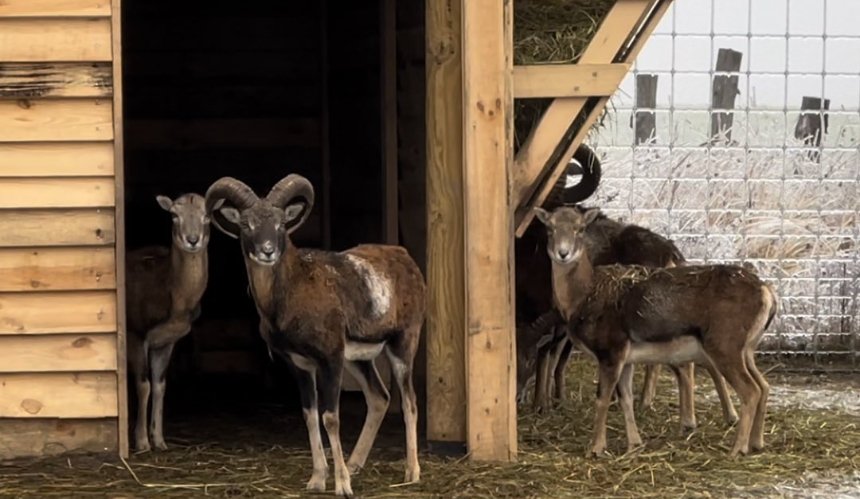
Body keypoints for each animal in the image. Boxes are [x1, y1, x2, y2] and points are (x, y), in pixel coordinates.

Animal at [125, 193, 217, 452]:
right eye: (174, 215)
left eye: (207, 215)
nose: (193, 240)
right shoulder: (136, 334)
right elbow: (143, 384)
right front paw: (142, 442)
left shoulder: (166, 341)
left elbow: (159, 385)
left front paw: (160, 440)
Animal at [206, 175, 426, 496]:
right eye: (246, 224)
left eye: (281, 223)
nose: (268, 250)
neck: (290, 294)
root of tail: (406, 259)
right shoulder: (300, 365)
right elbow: (310, 417)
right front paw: (317, 481)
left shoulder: (330, 360)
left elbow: (330, 418)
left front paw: (342, 486)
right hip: (359, 359)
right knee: (379, 398)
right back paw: (355, 464)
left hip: (402, 344)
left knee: (409, 402)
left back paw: (412, 472)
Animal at [536, 206, 776, 458]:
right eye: (549, 228)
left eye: (580, 228)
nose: (563, 253)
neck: (581, 297)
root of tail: (768, 294)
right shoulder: (626, 357)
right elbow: (625, 398)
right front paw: (634, 443)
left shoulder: (611, 349)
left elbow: (602, 398)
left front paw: (595, 448)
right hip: (747, 349)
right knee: (763, 385)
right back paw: (756, 442)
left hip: (724, 345)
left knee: (750, 390)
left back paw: (737, 449)